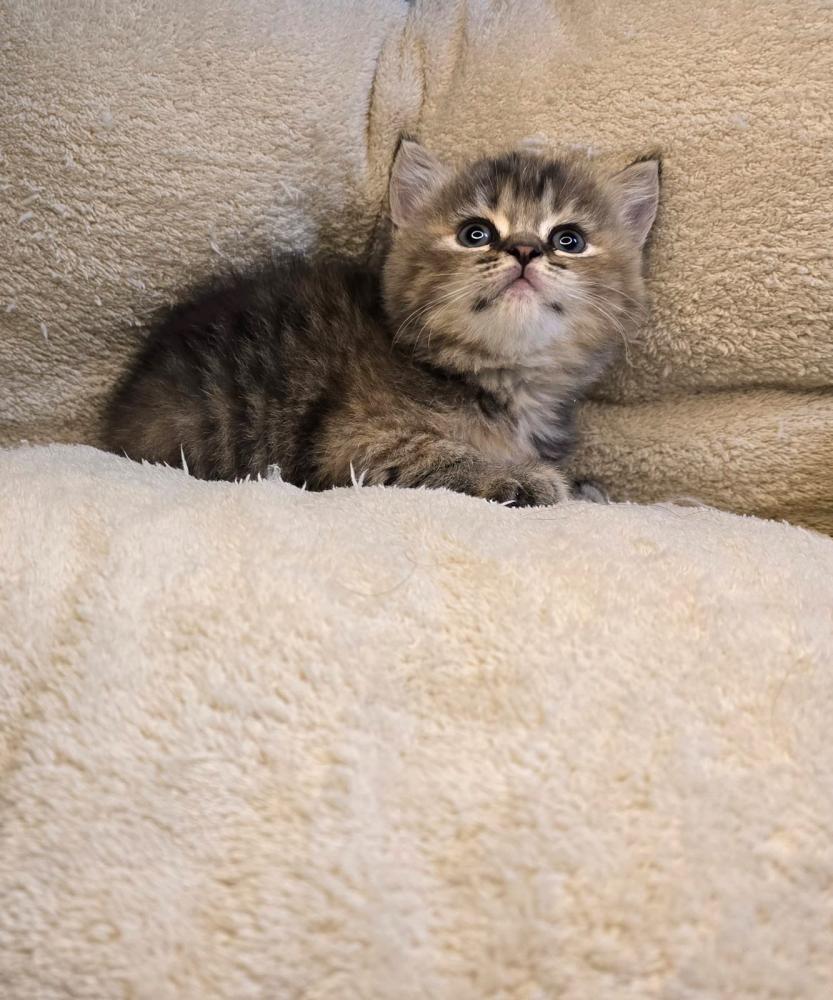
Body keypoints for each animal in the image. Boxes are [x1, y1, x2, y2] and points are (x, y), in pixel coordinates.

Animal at [105, 140, 659, 506]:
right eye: (475, 233)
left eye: (568, 240)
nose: (524, 250)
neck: (501, 381)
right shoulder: (352, 444)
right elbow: (439, 457)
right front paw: (528, 478)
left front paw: (588, 490)